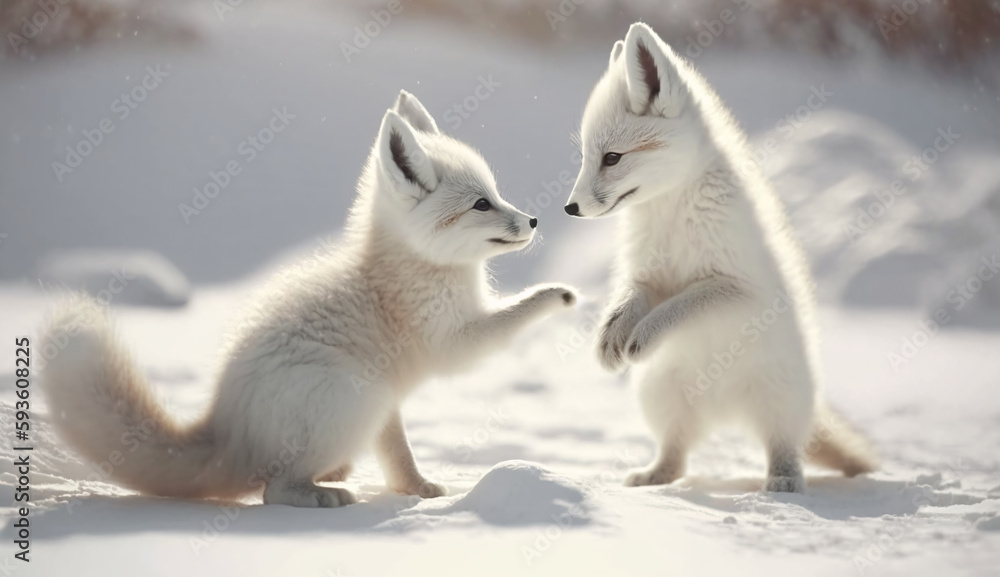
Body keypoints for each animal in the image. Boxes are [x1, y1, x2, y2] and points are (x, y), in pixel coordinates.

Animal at [39, 90, 578, 508]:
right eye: (481, 204)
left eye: (496, 192)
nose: (533, 220)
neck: (407, 271)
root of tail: (226, 430)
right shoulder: (453, 343)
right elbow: (516, 314)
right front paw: (558, 295)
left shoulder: (395, 404)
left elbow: (399, 457)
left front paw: (418, 492)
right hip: (356, 395)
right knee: (273, 491)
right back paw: (323, 494)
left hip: (372, 403)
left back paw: (336, 475)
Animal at [564, 23, 877, 492]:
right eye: (586, 158)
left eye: (612, 158)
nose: (570, 208)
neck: (672, 214)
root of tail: (725, 410)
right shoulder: (646, 277)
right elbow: (626, 303)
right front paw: (609, 338)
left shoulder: (733, 288)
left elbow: (680, 306)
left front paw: (643, 335)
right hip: (659, 398)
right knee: (676, 457)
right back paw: (654, 477)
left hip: (780, 400)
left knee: (784, 446)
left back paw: (784, 483)